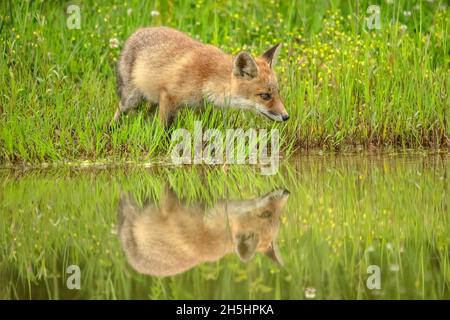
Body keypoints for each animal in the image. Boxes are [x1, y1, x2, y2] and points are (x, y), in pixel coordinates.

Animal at [113, 26, 288, 126]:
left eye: (278, 92)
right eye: (265, 96)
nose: (286, 116)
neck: (206, 79)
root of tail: (138, 30)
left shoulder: (203, 109)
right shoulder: (168, 97)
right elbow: (164, 130)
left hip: (152, 100)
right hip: (131, 100)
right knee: (120, 110)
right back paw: (112, 129)